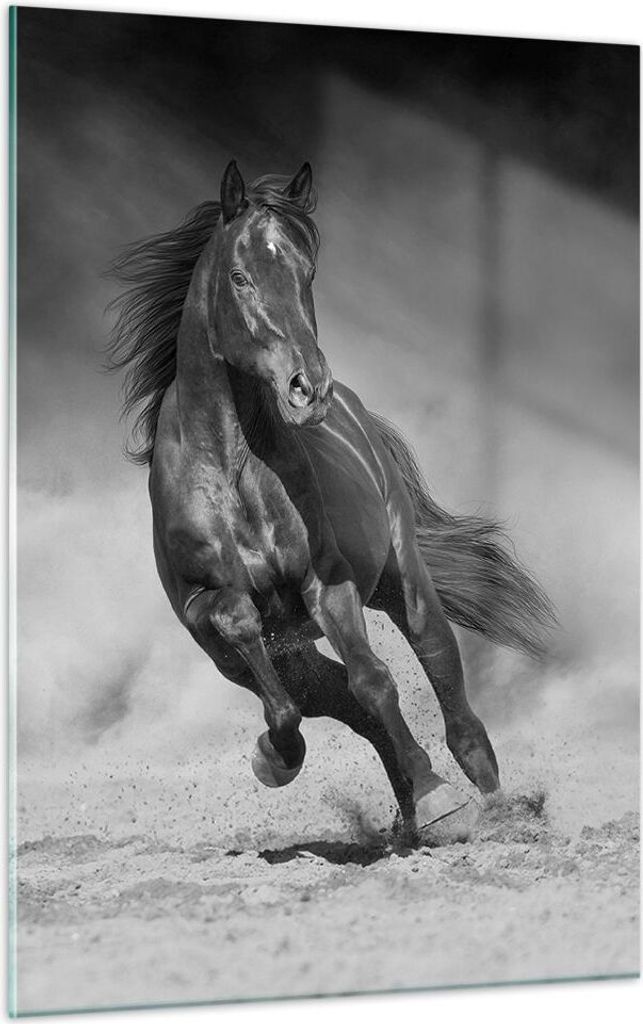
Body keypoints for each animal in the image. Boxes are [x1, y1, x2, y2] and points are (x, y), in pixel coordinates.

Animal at [108, 160, 554, 838]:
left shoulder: (327, 583)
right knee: (336, 702)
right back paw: (403, 809)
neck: (234, 471)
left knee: (440, 672)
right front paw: (276, 757)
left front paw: (439, 799)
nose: (307, 386)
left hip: (403, 580)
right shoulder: (206, 615)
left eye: (306, 272)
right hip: (273, 654)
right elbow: (272, 667)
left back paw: (486, 802)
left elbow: (375, 681)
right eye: (240, 277)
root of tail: (356, 410)